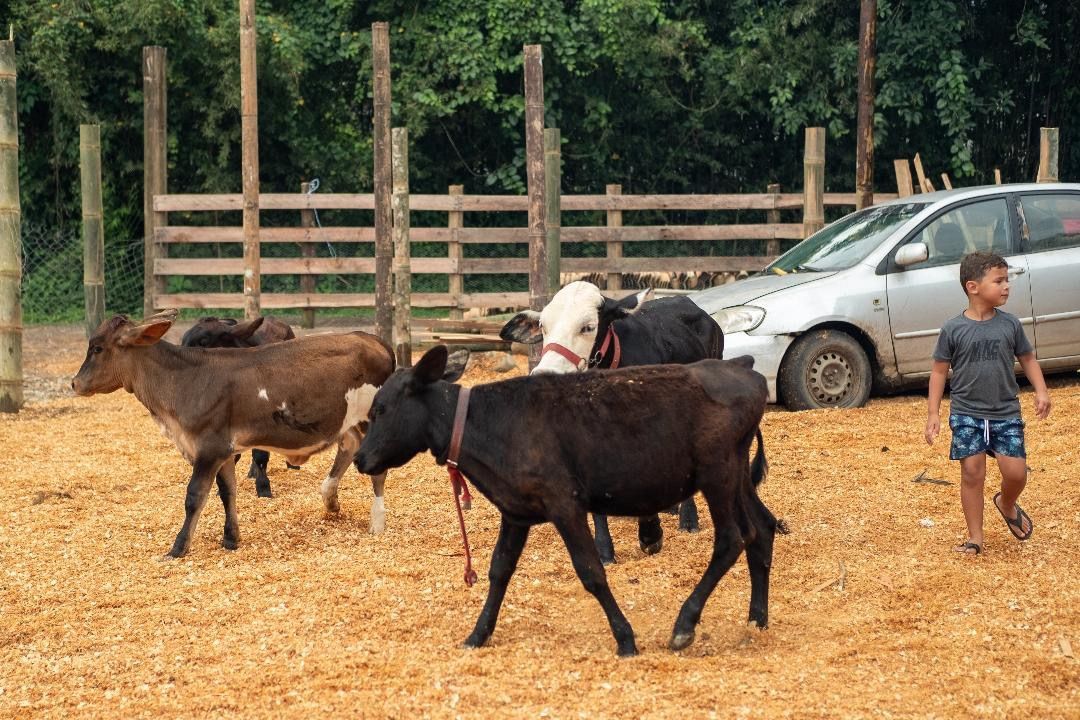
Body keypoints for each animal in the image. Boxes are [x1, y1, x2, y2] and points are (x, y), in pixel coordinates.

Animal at [354, 345, 777, 657]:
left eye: (380, 409)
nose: (359, 458)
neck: (484, 424)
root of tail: (746, 371)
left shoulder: (564, 504)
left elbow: (591, 571)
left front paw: (625, 638)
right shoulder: (515, 511)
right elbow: (499, 570)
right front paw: (478, 634)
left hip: (717, 473)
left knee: (732, 539)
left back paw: (684, 625)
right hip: (737, 474)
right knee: (762, 528)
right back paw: (757, 619)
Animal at [499, 281, 725, 564]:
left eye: (588, 327)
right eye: (543, 326)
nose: (544, 374)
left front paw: (650, 535)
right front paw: (604, 550)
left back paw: (688, 518)